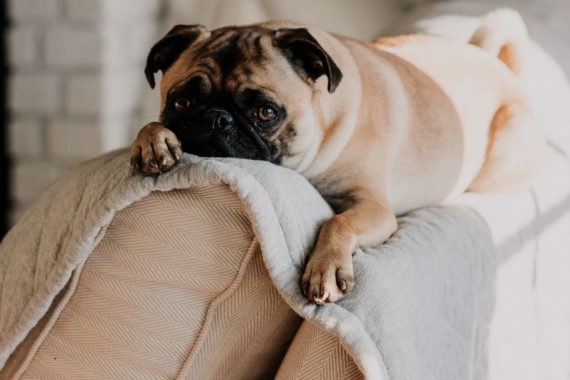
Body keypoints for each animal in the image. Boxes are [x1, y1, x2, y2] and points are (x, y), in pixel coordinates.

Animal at [131, 8, 544, 304]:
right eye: (181, 102)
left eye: (266, 112)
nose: (217, 119)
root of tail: (494, 62)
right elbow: (150, 126)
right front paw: (152, 140)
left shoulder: (374, 208)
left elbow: (337, 223)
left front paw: (326, 268)